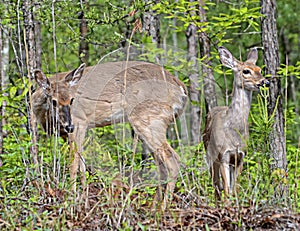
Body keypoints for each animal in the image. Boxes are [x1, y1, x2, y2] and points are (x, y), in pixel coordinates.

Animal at [32, 61, 188, 208]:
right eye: (54, 101)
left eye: (72, 100)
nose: (69, 126)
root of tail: (181, 89)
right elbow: (82, 163)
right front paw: (84, 197)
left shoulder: (79, 121)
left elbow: (74, 163)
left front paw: (71, 198)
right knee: (162, 165)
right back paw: (153, 208)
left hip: (149, 118)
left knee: (173, 160)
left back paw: (162, 209)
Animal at [204, 46, 270, 200]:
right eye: (246, 71)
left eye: (259, 69)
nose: (265, 82)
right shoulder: (223, 155)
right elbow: (227, 190)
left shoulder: (240, 156)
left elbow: (236, 189)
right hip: (210, 155)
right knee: (215, 184)